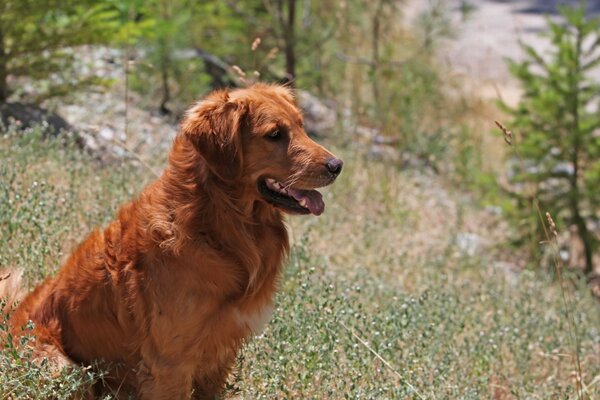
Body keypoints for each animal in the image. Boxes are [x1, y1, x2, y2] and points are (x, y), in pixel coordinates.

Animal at [0, 83, 342, 398]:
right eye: (274, 134)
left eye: (301, 125)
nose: (337, 166)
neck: (218, 226)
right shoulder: (170, 363)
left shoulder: (219, 357)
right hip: (67, 370)